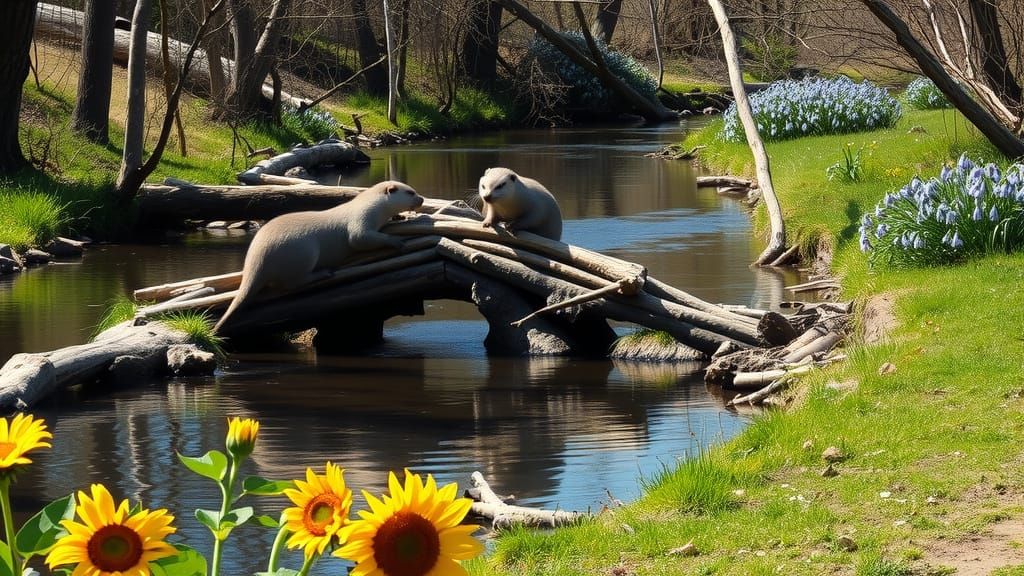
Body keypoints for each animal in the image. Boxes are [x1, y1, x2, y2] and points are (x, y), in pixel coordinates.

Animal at [214, 180, 424, 333]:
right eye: (410, 192)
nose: (421, 199)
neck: (370, 202)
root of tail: (257, 260)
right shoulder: (363, 215)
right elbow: (358, 238)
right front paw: (396, 241)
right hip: (303, 251)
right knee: (292, 282)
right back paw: (323, 273)